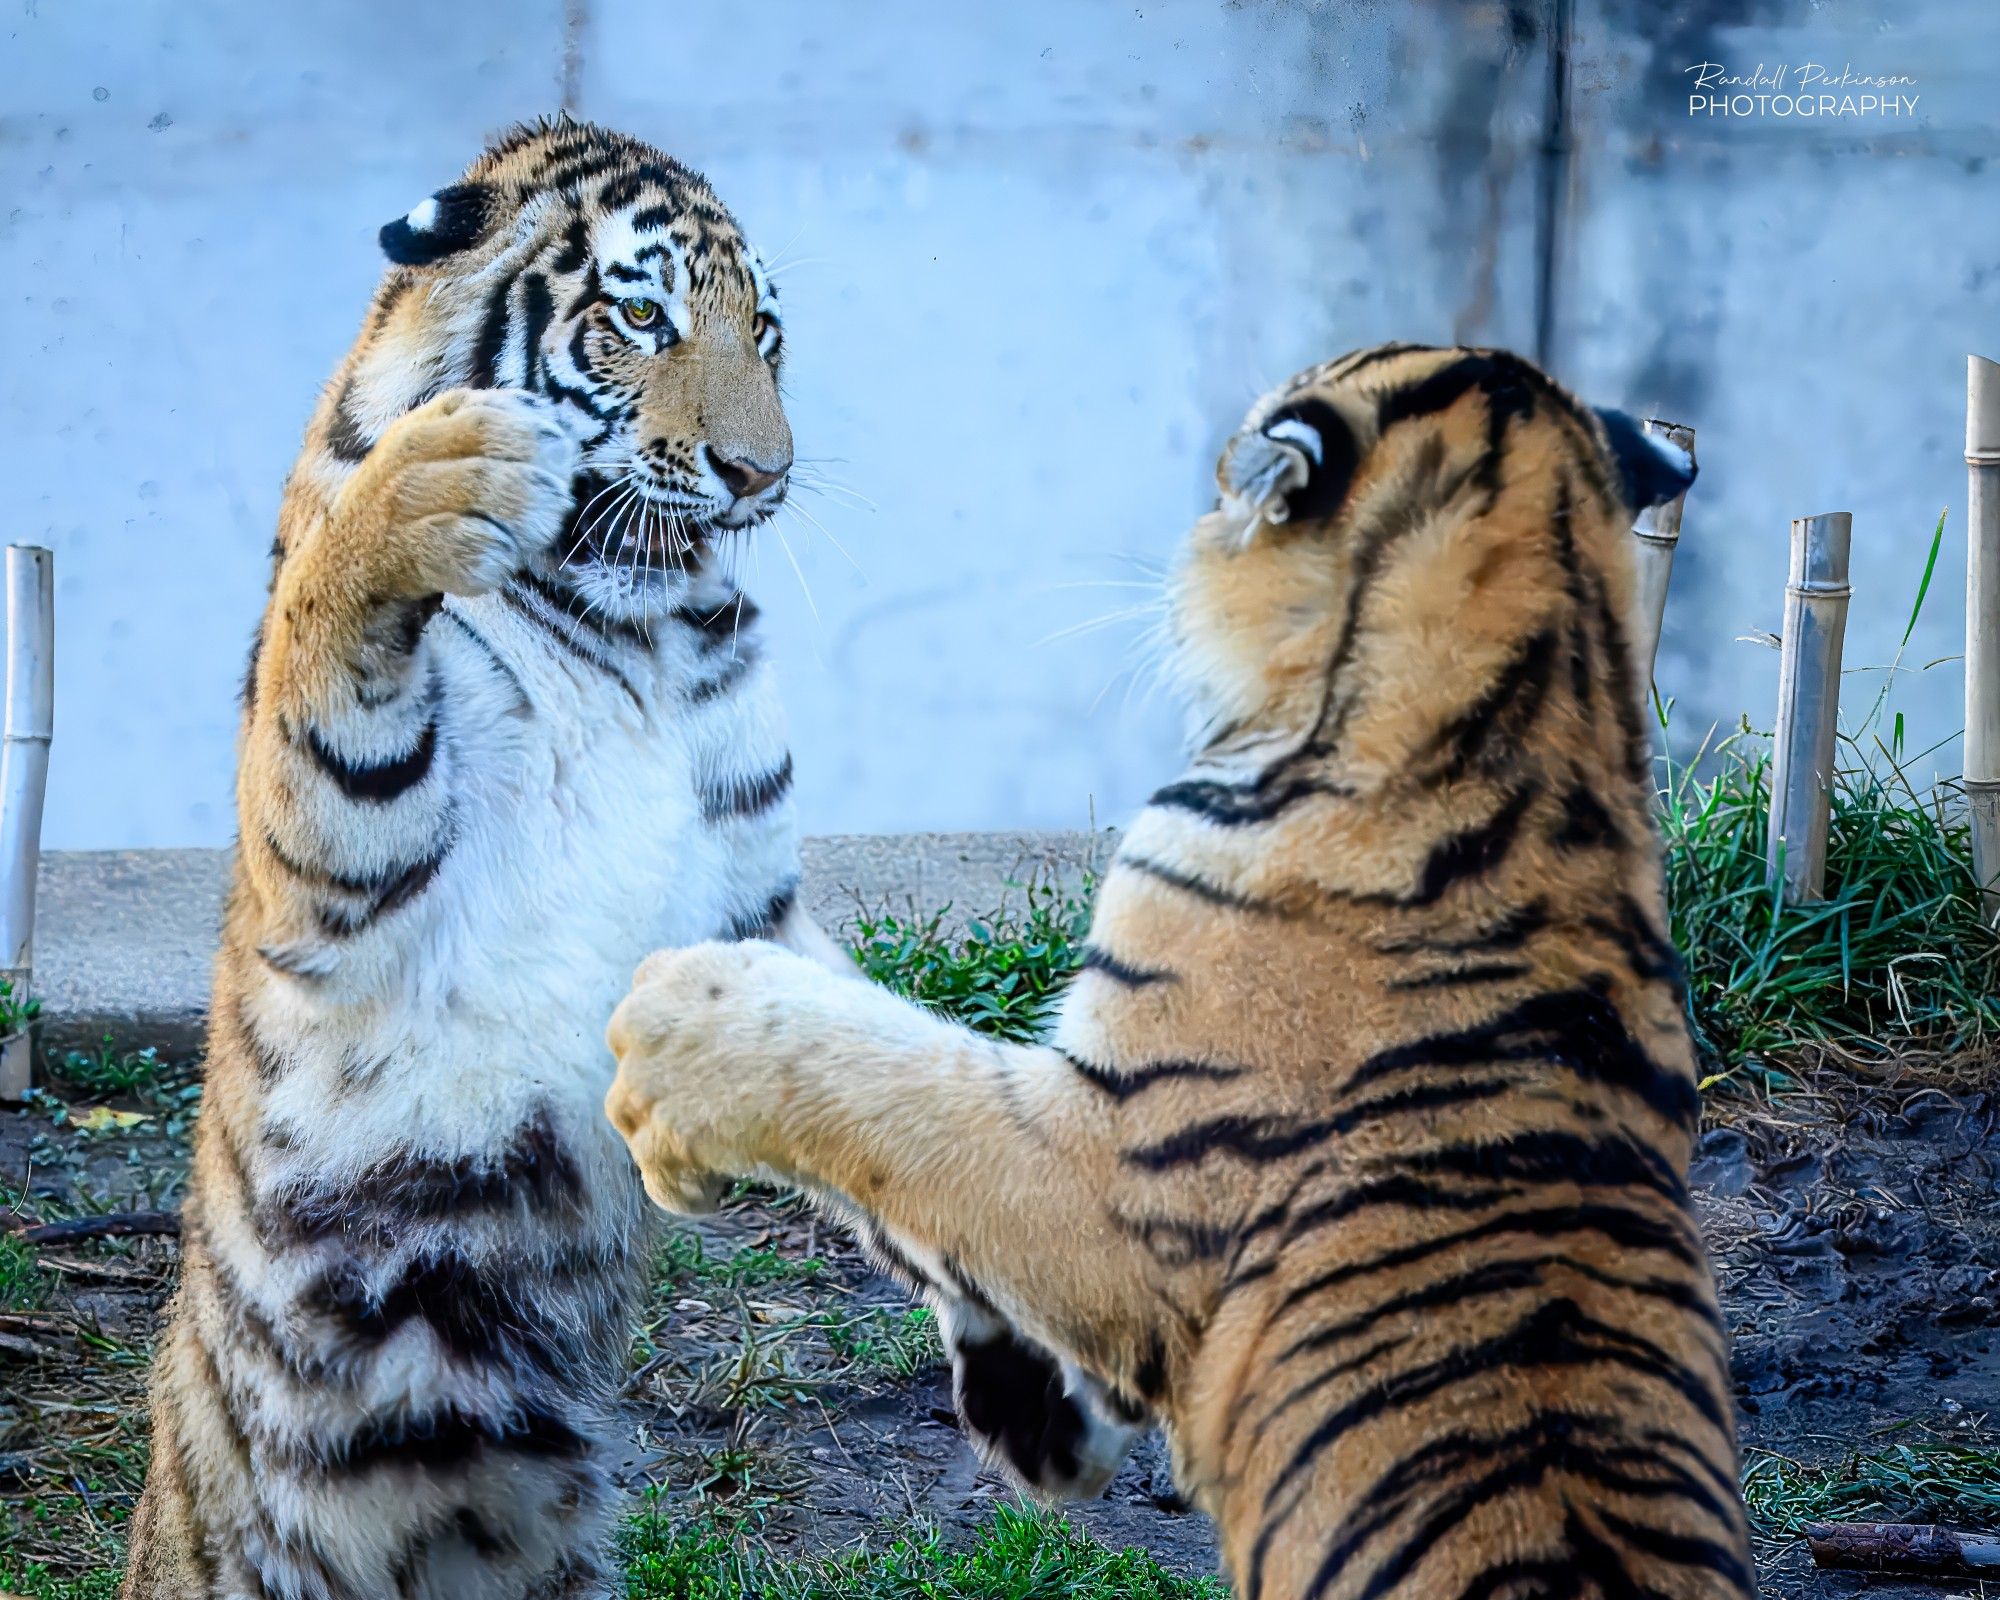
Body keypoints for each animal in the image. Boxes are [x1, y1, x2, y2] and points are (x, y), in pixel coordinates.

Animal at [117, 119, 852, 1592]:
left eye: (765, 334)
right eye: (642, 317)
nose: (761, 476)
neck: (641, 634)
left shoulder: (758, 904)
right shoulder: (351, 864)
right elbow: (329, 633)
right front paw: (436, 478)